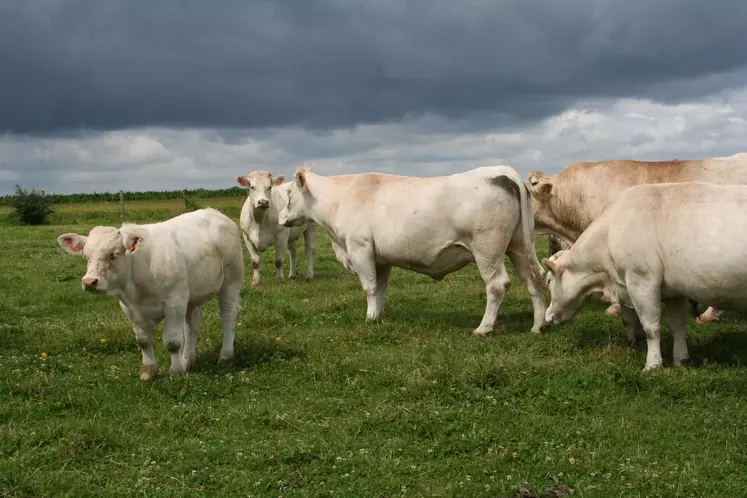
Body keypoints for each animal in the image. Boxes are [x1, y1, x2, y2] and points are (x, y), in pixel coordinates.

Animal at [58, 208, 245, 380]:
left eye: (114, 254)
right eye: (85, 257)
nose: (90, 281)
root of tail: (214, 212)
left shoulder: (174, 303)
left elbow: (173, 341)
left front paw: (176, 371)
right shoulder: (130, 308)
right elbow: (143, 341)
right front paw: (148, 372)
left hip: (231, 280)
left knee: (228, 315)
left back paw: (225, 355)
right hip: (191, 296)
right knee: (193, 323)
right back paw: (187, 361)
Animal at [278, 166, 548, 334]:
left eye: (288, 193)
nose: (280, 218)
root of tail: (502, 172)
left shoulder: (359, 249)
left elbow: (369, 286)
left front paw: (369, 317)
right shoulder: (380, 258)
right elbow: (381, 287)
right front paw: (378, 315)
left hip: (487, 250)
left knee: (497, 285)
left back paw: (484, 328)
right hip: (518, 246)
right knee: (532, 281)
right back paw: (537, 326)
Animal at [540, 182, 747, 370]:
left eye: (549, 281)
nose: (547, 317)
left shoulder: (641, 281)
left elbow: (651, 328)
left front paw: (653, 365)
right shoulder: (675, 292)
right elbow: (678, 326)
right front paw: (681, 360)